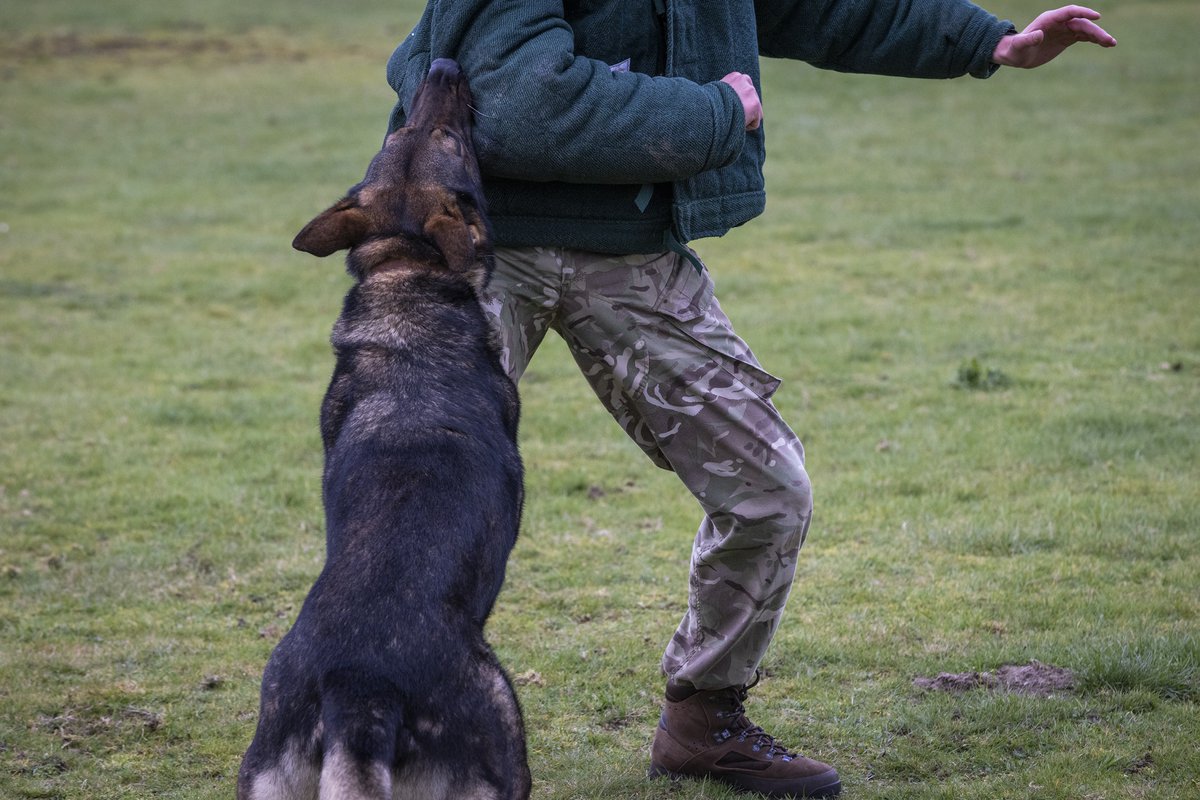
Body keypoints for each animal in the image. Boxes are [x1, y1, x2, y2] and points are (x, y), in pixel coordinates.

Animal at [236, 57, 528, 800]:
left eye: (403, 131)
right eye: (450, 135)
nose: (444, 64)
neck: (406, 270)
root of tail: (358, 688)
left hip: (266, 768)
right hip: (501, 729)